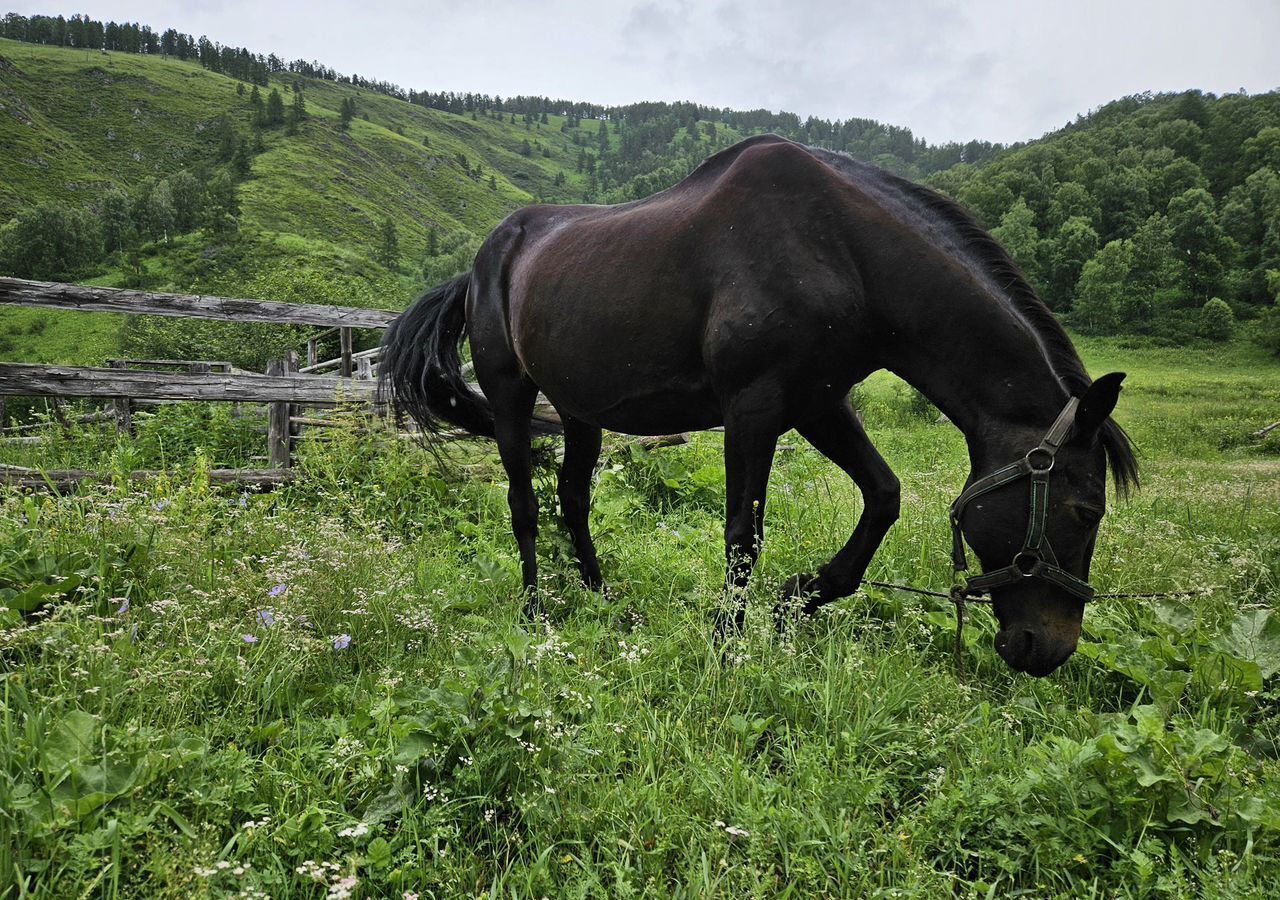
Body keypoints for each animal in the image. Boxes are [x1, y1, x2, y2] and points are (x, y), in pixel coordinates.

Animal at [381, 133, 1141, 675]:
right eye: (1086, 511)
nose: (1051, 649)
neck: (844, 251)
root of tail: (480, 263)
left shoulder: (817, 403)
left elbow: (883, 496)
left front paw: (794, 600)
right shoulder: (753, 409)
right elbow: (742, 535)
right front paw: (727, 643)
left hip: (580, 413)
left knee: (573, 498)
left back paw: (602, 599)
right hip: (512, 398)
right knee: (525, 505)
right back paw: (536, 614)